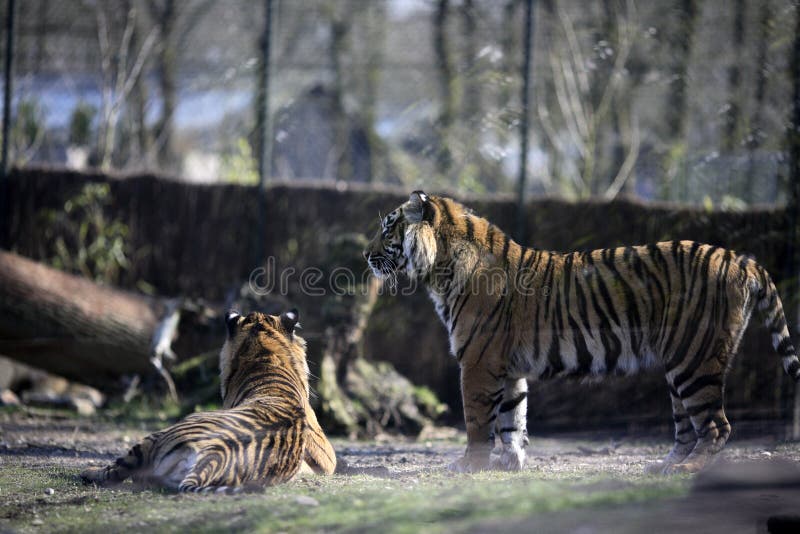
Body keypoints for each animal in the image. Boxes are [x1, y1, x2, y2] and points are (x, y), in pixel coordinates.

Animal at [80, 310, 336, 492]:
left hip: (159, 435)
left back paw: (87, 472)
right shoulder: (326, 455)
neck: (265, 356)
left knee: (116, 470)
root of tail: (215, 454)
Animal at [364, 191, 800, 474]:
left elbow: (476, 421)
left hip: (694, 361)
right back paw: (662, 465)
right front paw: (509, 464)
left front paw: (468, 464)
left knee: (715, 426)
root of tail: (740, 259)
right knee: (686, 427)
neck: (440, 267)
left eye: (388, 229)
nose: (365, 256)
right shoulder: (507, 368)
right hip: (681, 365)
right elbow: (512, 418)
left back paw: (686, 470)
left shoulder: (477, 363)